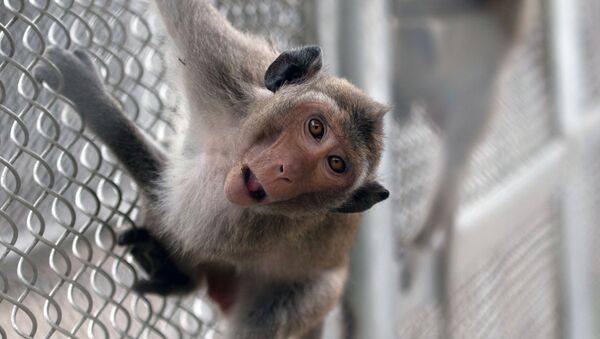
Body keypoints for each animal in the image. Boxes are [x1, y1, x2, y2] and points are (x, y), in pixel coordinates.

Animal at [31, 0, 390, 338]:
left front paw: (91, 97)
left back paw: (178, 277)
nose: (285, 169)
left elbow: (177, 212)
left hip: (305, 298)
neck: (233, 148)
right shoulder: (223, 64)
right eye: (316, 128)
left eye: (335, 163)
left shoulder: (245, 222)